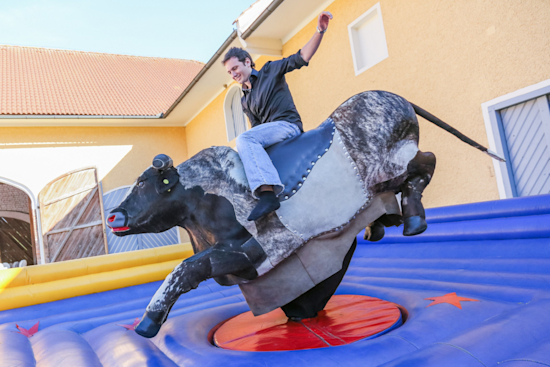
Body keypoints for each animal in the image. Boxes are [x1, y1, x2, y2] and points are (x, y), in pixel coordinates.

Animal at [106, 90, 504, 338]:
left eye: (143, 183)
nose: (113, 216)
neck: (200, 201)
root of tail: (393, 96)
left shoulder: (261, 249)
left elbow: (186, 268)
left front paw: (149, 321)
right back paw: (382, 224)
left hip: (395, 160)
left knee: (427, 162)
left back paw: (413, 219)